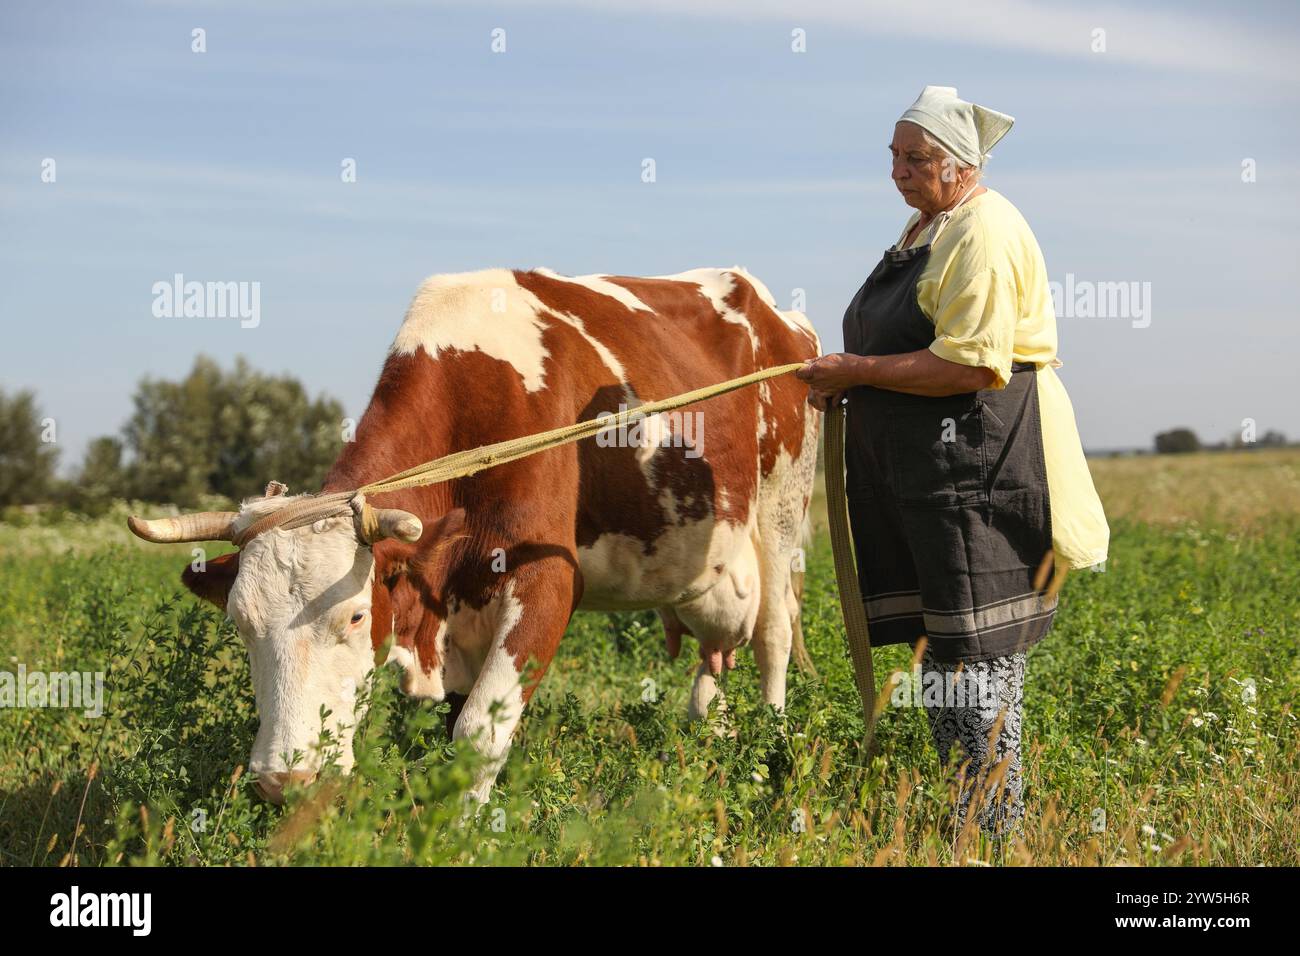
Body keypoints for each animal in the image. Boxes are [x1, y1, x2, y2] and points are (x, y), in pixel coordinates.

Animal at [127, 266, 821, 806]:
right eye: (239, 624)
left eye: (354, 618)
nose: (285, 782)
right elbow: (450, 730)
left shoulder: (547, 577)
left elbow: (477, 738)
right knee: (716, 657)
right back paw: (710, 734)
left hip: (782, 510)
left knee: (773, 635)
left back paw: (769, 742)